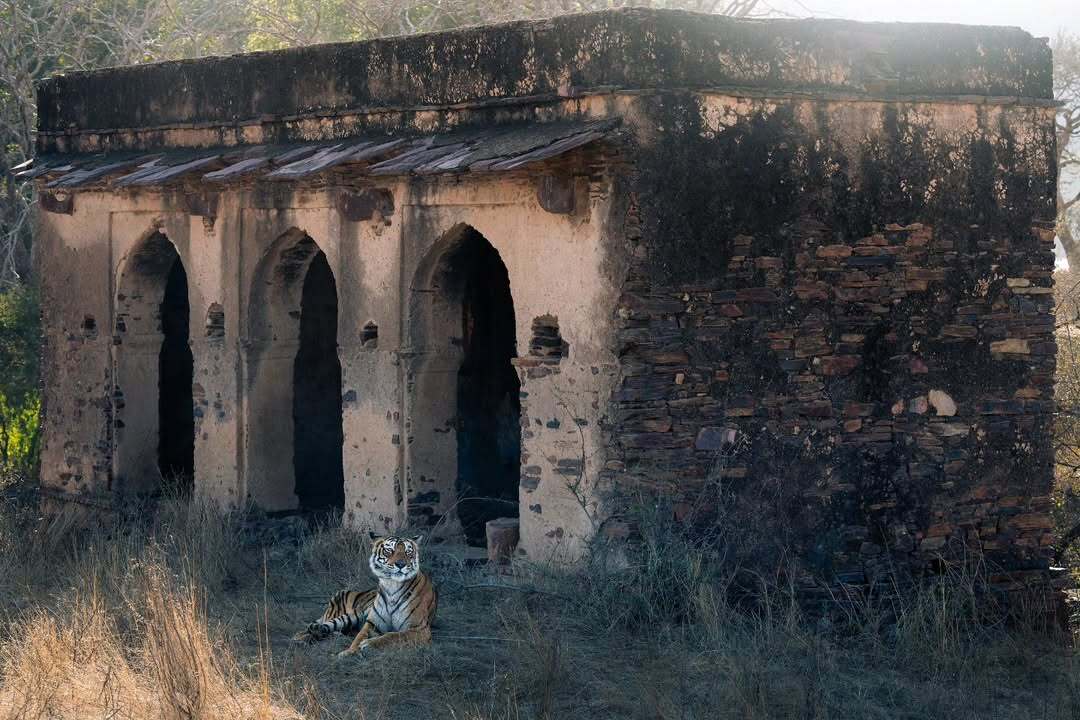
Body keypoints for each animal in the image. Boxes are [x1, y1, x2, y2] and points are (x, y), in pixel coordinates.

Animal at [293, 533, 438, 658]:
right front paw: (350, 652)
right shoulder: (372, 623)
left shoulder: (419, 629)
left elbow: (393, 636)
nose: (401, 564)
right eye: (389, 551)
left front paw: (368, 644)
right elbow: (359, 637)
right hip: (350, 614)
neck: (391, 585)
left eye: (408, 552)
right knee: (321, 626)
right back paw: (304, 637)